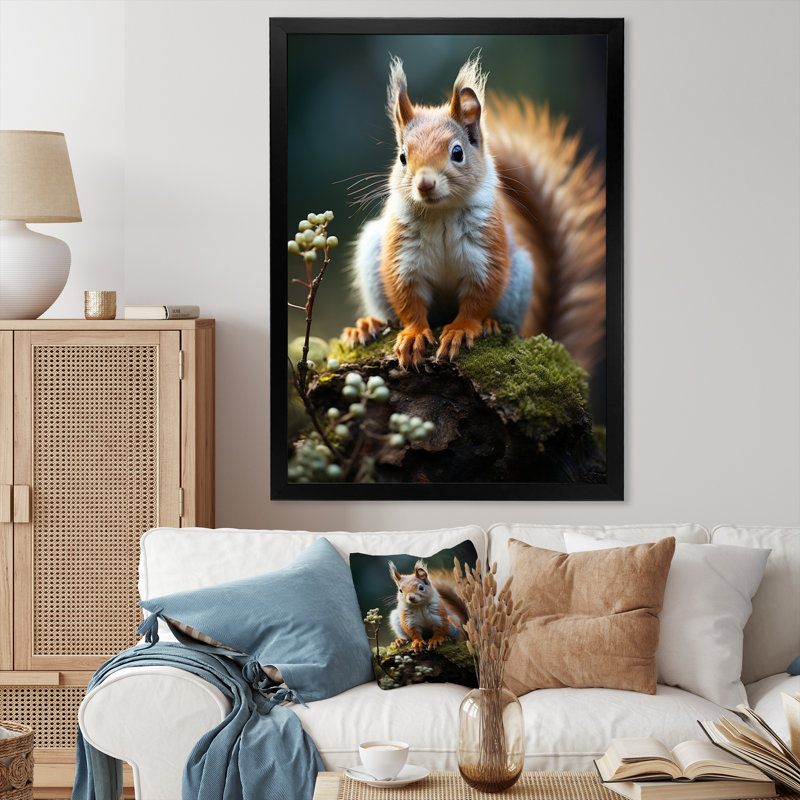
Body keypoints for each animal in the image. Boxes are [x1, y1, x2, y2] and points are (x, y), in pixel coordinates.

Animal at [341, 54, 606, 372]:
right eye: (402, 157)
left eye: (457, 153)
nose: (425, 183)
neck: (441, 213)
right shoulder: (402, 256)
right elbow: (407, 297)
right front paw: (414, 334)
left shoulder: (486, 253)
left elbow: (479, 295)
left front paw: (461, 329)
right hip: (371, 254)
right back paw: (367, 325)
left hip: (519, 279)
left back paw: (491, 324)